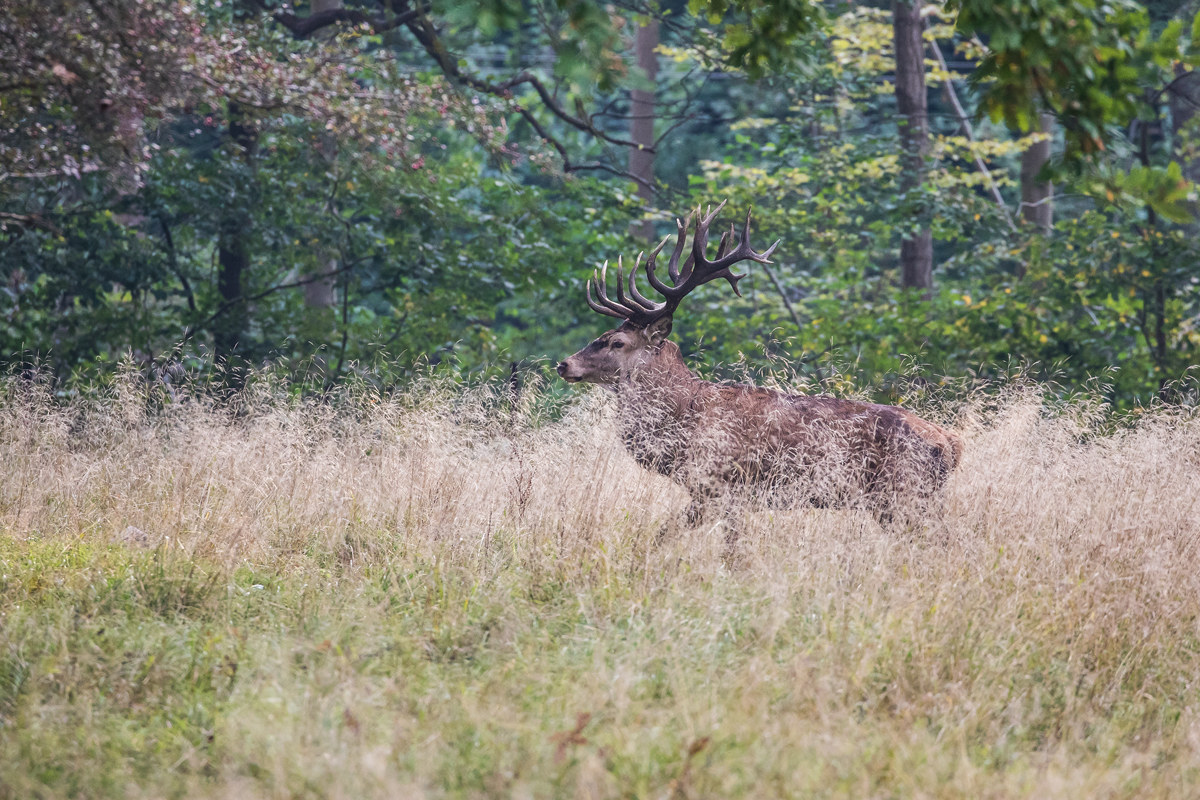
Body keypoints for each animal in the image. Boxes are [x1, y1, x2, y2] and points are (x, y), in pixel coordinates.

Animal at [555, 201, 963, 539]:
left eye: (616, 342)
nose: (564, 364)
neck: (685, 420)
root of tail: (950, 443)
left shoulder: (725, 484)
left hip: (902, 492)